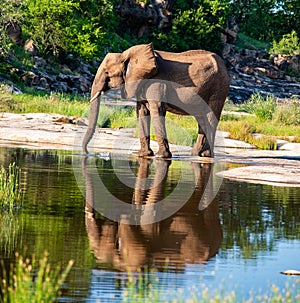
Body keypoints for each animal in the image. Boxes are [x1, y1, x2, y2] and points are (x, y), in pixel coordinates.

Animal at [82, 43, 230, 159]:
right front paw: (143, 155)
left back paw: (206, 155)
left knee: (210, 118)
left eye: (107, 73)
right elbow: (141, 111)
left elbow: (157, 110)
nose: (87, 153)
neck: (126, 55)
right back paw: (195, 154)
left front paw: (160, 156)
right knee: (201, 119)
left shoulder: (156, 82)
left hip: (219, 87)